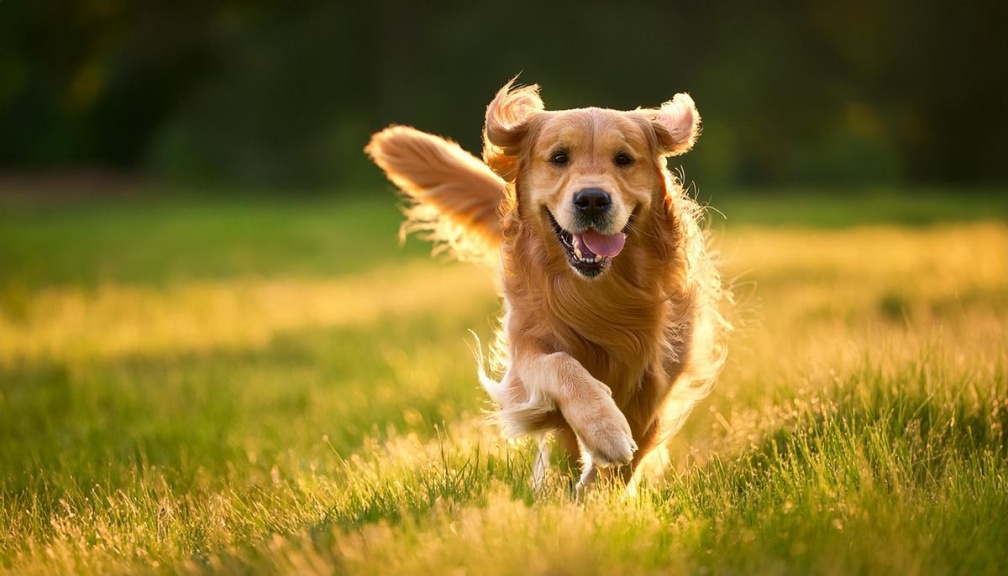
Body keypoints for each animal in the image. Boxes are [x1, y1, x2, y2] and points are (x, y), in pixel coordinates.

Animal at [366, 77, 729, 492]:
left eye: (623, 159)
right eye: (559, 158)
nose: (592, 199)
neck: (598, 293)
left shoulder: (662, 371)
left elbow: (637, 437)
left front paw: (598, 487)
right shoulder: (526, 351)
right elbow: (562, 366)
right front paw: (605, 431)